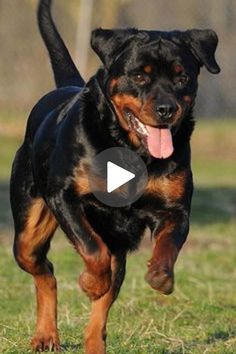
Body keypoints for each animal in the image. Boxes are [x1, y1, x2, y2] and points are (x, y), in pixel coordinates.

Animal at [9, 0, 219, 352]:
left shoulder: (175, 209)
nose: (167, 109)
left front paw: (160, 275)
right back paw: (46, 335)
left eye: (182, 77)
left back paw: (92, 343)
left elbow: (168, 244)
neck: (131, 148)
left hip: (118, 247)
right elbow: (92, 249)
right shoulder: (65, 196)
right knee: (45, 270)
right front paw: (90, 282)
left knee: (100, 306)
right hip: (28, 232)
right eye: (139, 76)